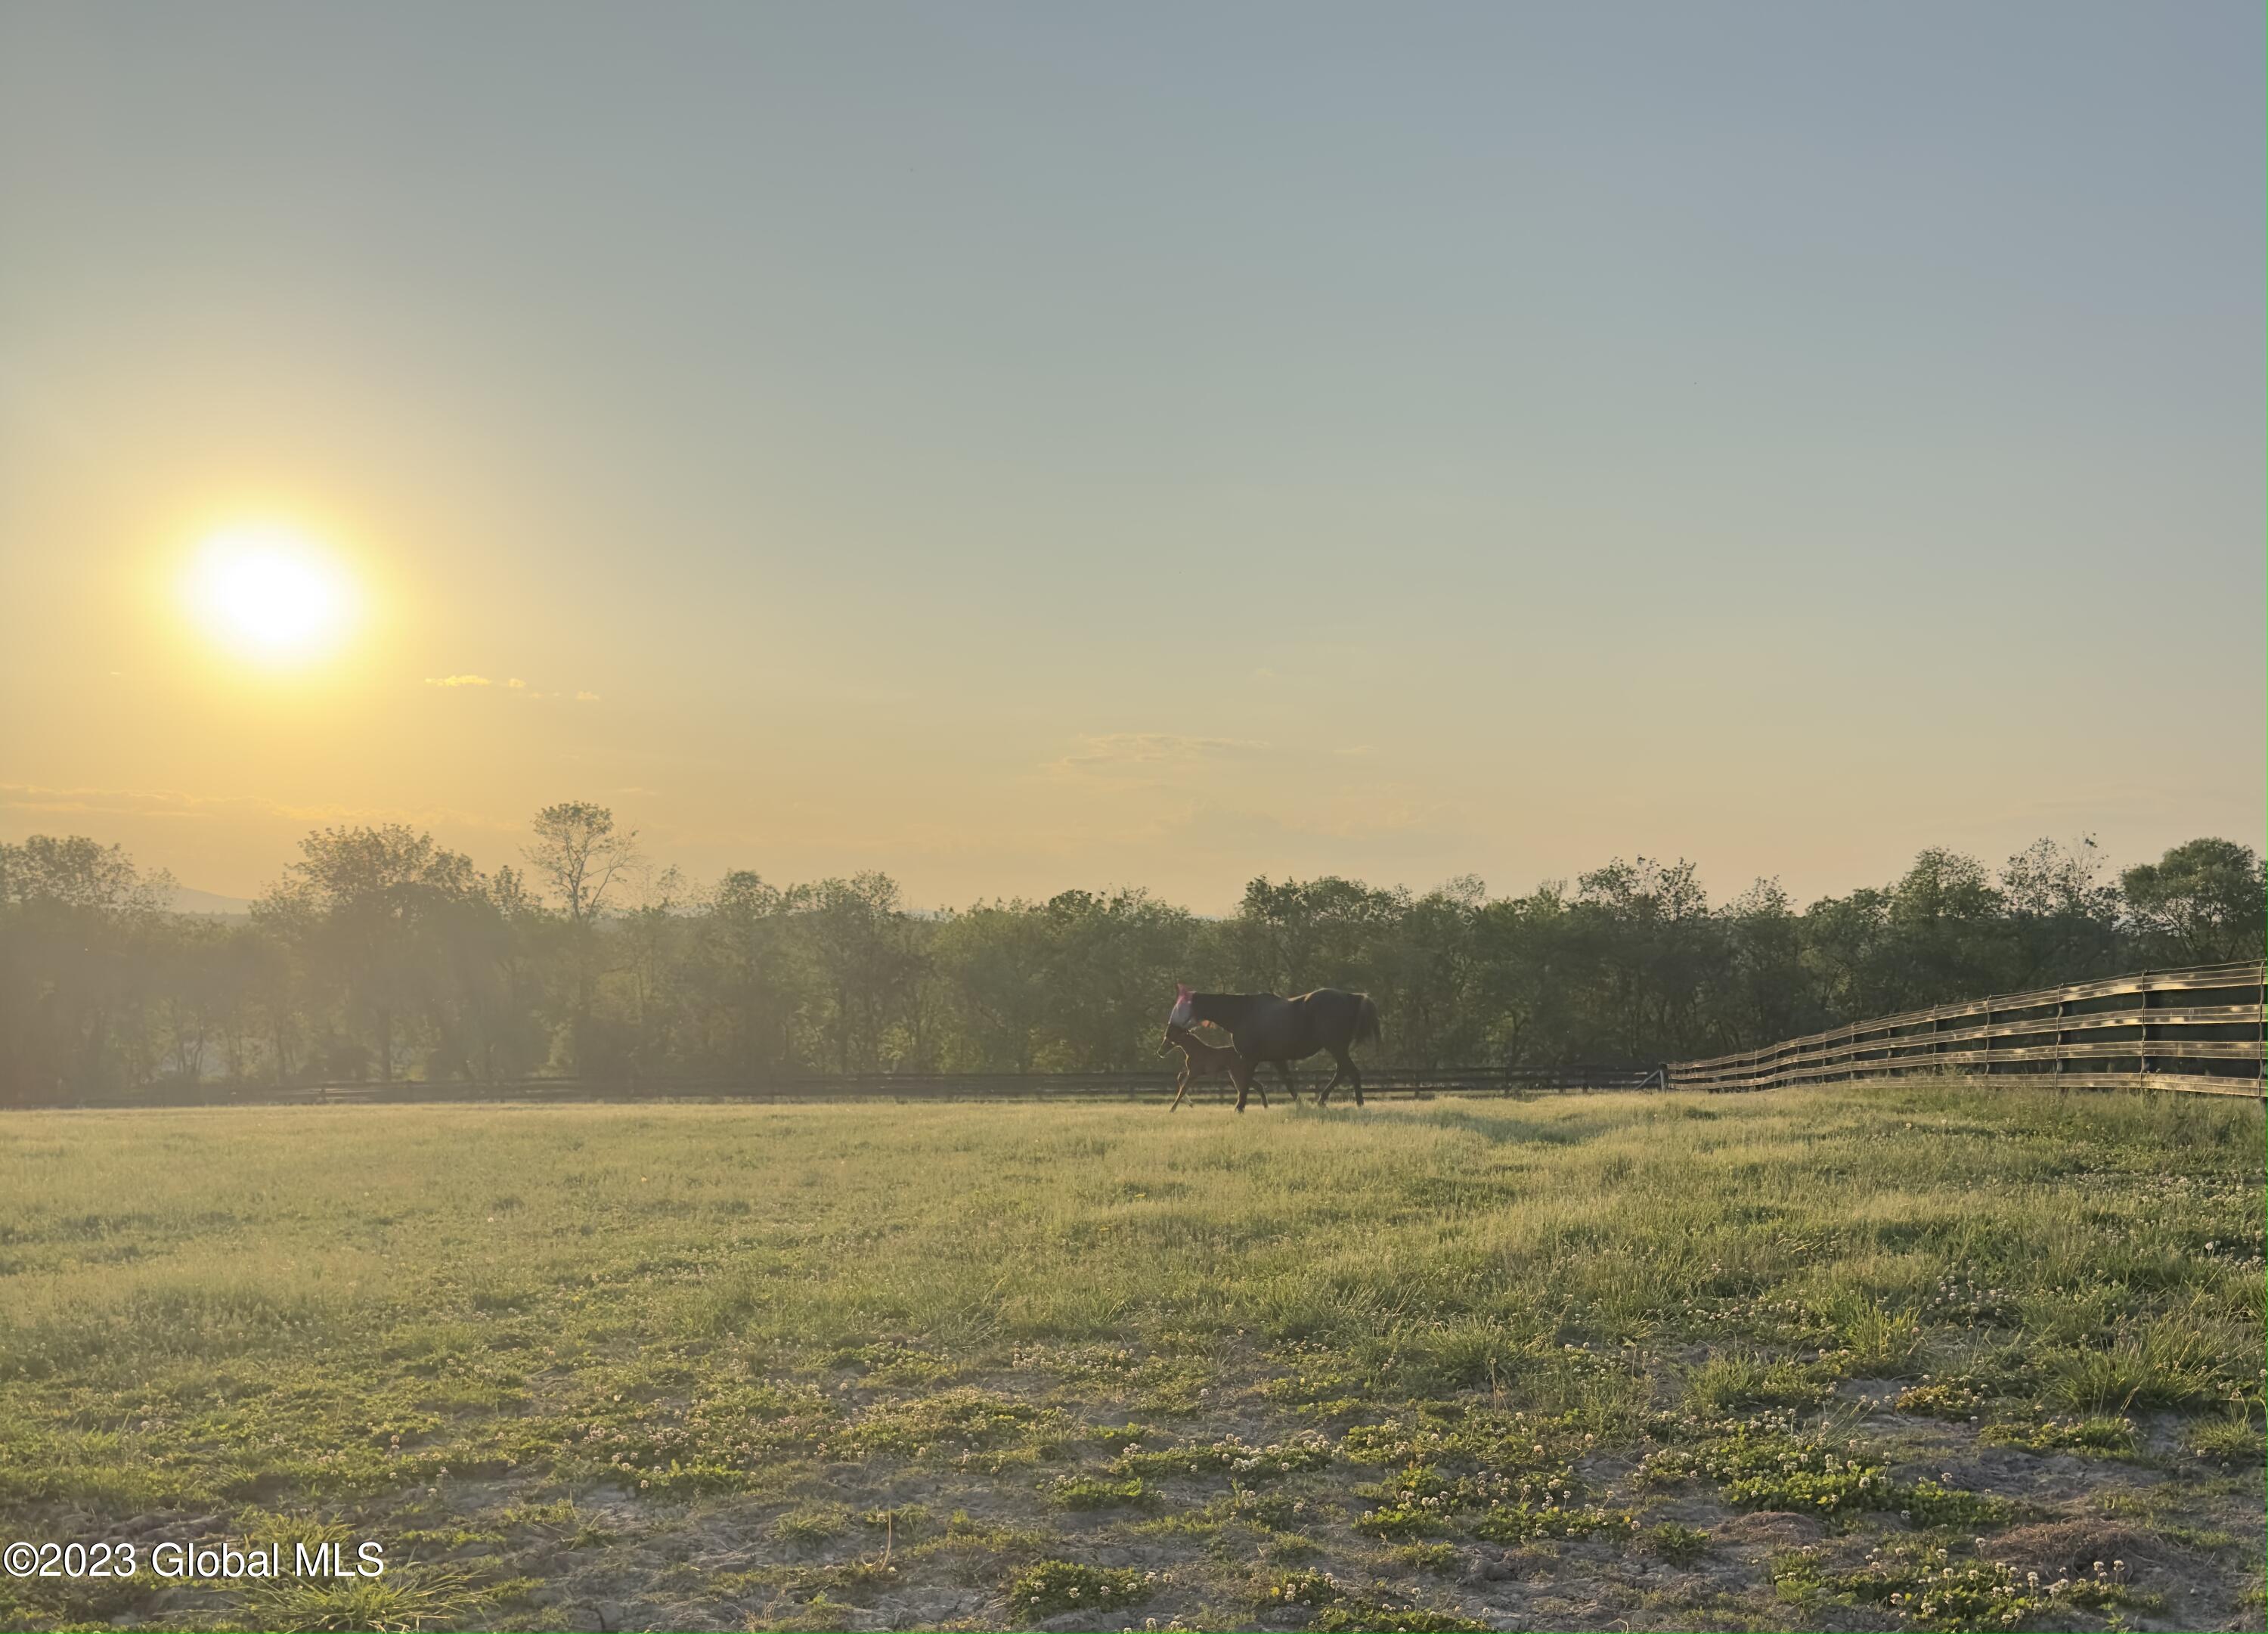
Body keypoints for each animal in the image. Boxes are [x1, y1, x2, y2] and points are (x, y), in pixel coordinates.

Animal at [1161, 1021, 1270, 1112]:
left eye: (1169, 1037)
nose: (1160, 1052)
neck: (1195, 1050)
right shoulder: (1192, 1071)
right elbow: (1180, 1077)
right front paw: (1190, 1104)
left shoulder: (1194, 1073)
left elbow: (1183, 1089)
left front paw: (1172, 1109)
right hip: (1236, 1075)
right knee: (1252, 1087)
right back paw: (1262, 1108)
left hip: (1238, 1074)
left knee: (1247, 1089)